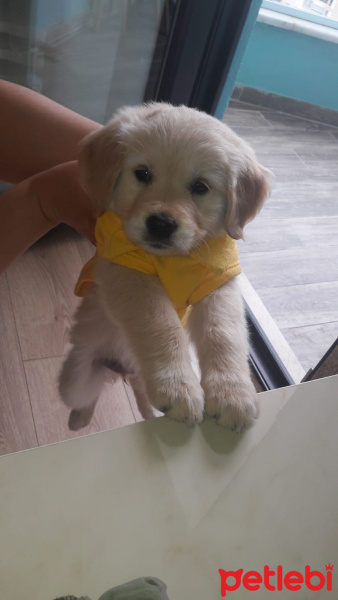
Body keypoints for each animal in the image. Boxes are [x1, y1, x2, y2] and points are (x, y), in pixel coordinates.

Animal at [58, 102, 270, 432]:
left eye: (200, 186)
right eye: (142, 174)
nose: (160, 224)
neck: (176, 259)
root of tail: (125, 369)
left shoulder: (219, 284)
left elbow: (224, 333)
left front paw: (233, 394)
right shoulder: (127, 271)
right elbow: (161, 324)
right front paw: (178, 387)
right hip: (76, 376)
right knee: (89, 393)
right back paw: (79, 418)